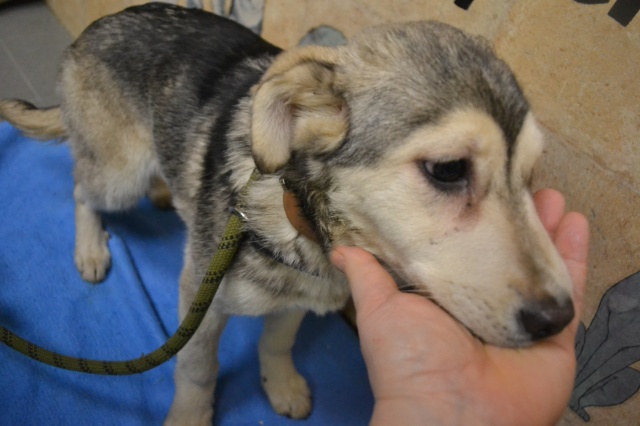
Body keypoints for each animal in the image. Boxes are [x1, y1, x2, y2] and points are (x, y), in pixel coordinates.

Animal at [0, 3, 575, 424]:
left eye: (528, 177)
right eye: (448, 170)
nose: (560, 320)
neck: (308, 228)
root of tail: (98, 24)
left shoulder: (305, 297)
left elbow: (278, 341)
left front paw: (280, 383)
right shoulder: (200, 299)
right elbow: (196, 368)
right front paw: (190, 416)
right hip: (121, 171)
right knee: (81, 186)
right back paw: (91, 247)